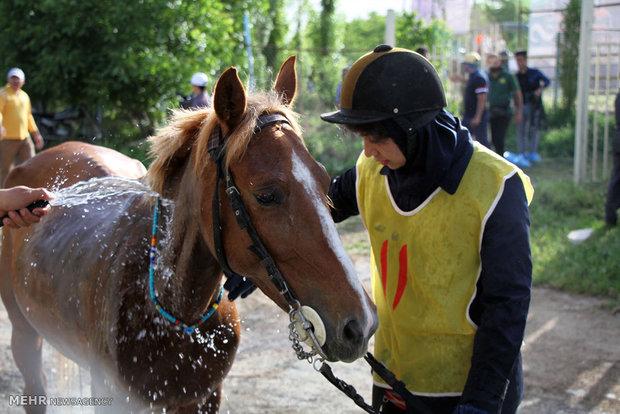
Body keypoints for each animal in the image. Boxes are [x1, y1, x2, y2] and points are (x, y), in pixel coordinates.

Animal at [1, 56, 378, 412]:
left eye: (324, 181)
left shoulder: (202, 397)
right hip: (25, 335)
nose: (361, 324)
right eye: (266, 195)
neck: (173, 302)